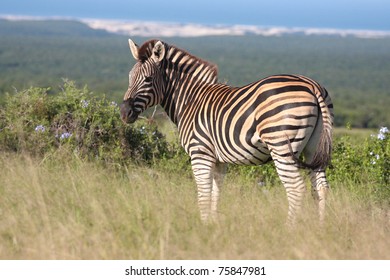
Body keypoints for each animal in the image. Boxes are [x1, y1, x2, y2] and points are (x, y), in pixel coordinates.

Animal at [120, 38, 334, 225]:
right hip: (314, 148)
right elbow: (216, 193)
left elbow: (203, 193)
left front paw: (203, 226)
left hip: (281, 145)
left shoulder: (200, 153)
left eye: (148, 79)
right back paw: (320, 228)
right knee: (321, 187)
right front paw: (213, 226)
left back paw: (288, 229)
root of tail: (311, 85)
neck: (190, 99)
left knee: (296, 189)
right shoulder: (218, 160)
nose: (124, 112)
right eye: (129, 77)